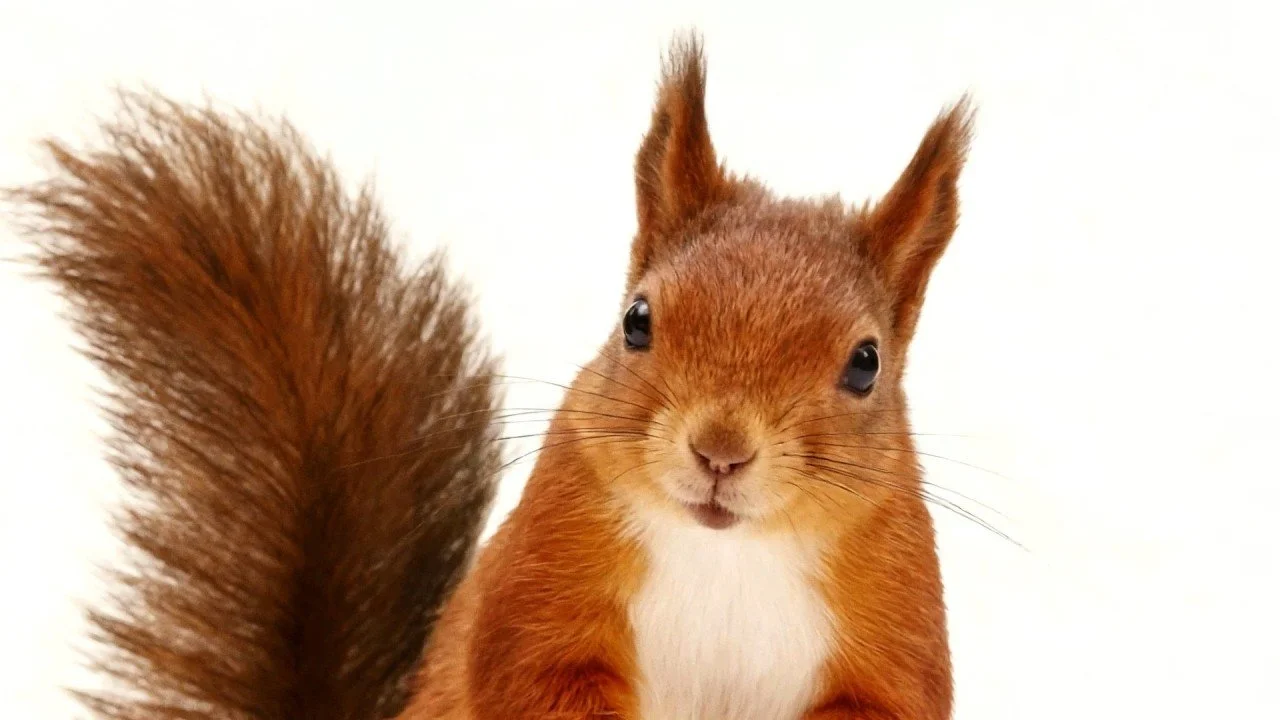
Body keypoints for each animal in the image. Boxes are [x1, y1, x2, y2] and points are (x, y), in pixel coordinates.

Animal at [9, 33, 971, 720]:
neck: (726, 554)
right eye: (637, 320)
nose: (720, 452)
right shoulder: (548, 566)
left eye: (865, 365)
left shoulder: (892, 615)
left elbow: (890, 701)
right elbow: (531, 675)